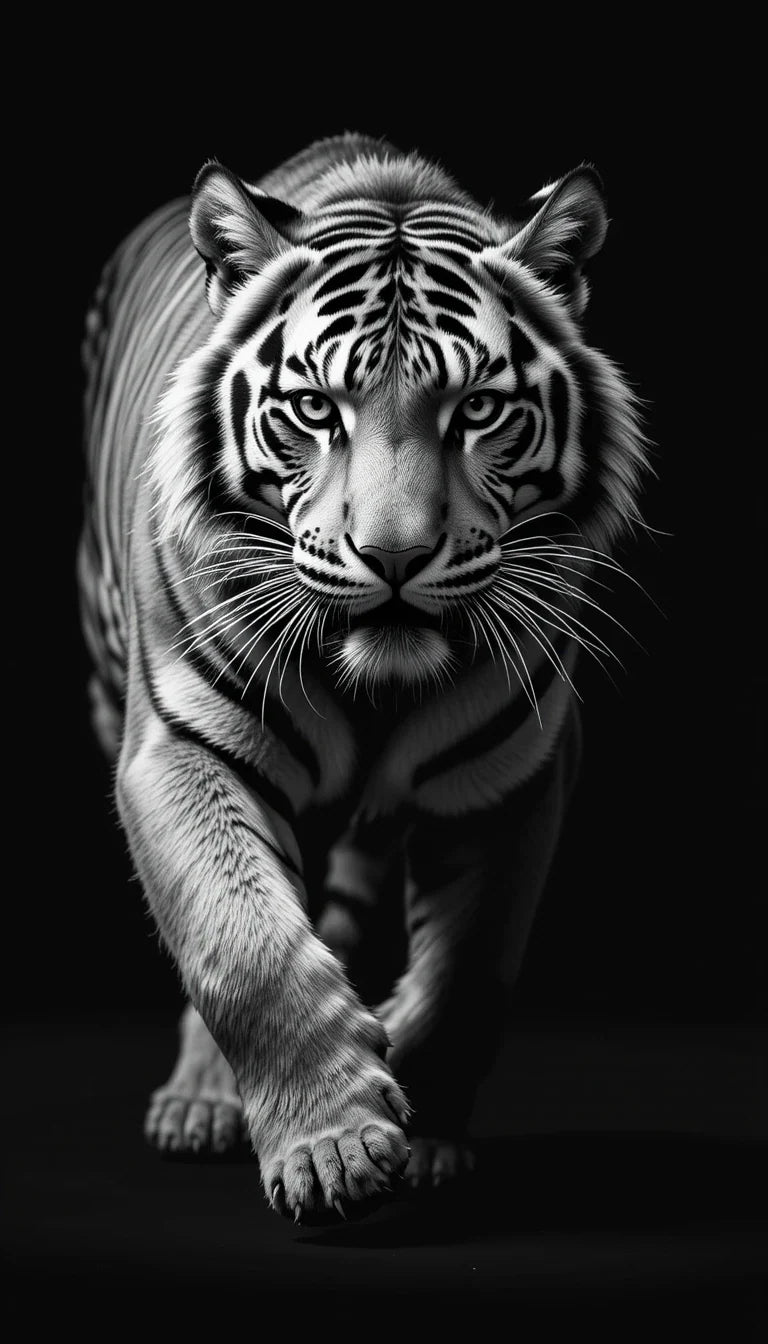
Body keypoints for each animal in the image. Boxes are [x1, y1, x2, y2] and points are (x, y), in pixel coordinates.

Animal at [79, 132, 647, 1222]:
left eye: (478, 410)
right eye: (314, 409)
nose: (392, 556)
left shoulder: (514, 775)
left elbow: (471, 968)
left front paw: (419, 1130)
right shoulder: (176, 745)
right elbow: (241, 944)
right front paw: (332, 1149)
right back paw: (200, 1104)